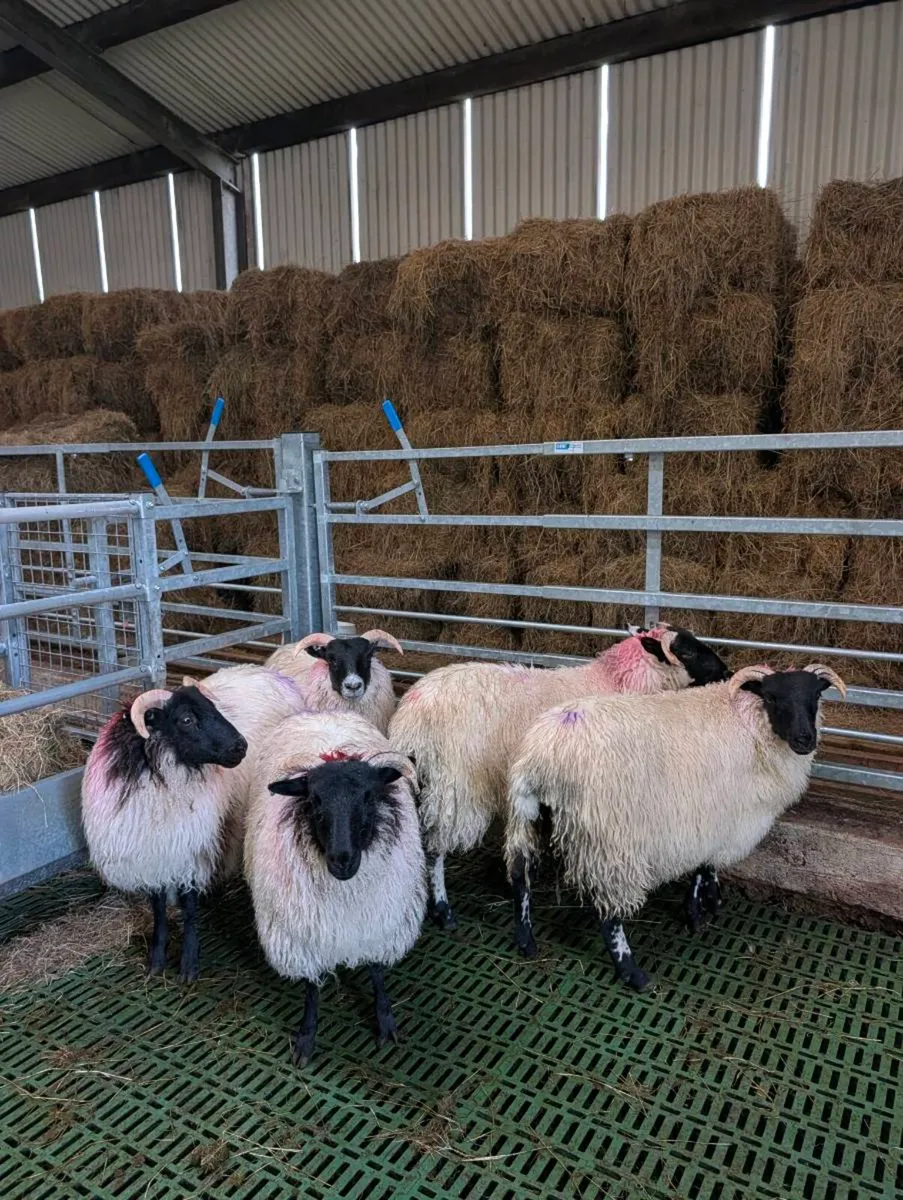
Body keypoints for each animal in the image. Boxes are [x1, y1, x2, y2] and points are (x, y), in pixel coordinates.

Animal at [82, 665, 308, 981]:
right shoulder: (153, 853)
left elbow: (189, 908)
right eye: (186, 719)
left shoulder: (192, 849)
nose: (241, 747)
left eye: (214, 708)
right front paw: (156, 959)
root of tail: (273, 674)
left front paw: (189, 965)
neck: (165, 775)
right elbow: (158, 908)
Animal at [244, 711, 426, 1067]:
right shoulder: (307, 938)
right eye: (314, 800)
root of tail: (321, 714)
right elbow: (311, 990)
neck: (346, 897)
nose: (341, 859)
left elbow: (376, 972)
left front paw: (385, 1021)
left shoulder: (377, 923)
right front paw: (306, 1036)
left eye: (369, 796)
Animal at [389, 624, 731, 933]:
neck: (617, 681)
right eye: (686, 651)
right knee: (435, 850)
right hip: (454, 787)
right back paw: (443, 910)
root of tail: (411, 717)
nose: (727, 671)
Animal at [504, 663, 846, 989]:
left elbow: (707, 868)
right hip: (612, 841)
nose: (805, 740)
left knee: (521, 878)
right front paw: (698, 912)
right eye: (772, 697)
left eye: (816, 695)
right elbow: (703, 868)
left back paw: (526, 942)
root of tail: (546, 753)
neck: (747, 723)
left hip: (528, 815)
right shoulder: (715, 818)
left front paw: (711, 903)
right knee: (609, 915)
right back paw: (632, 972)